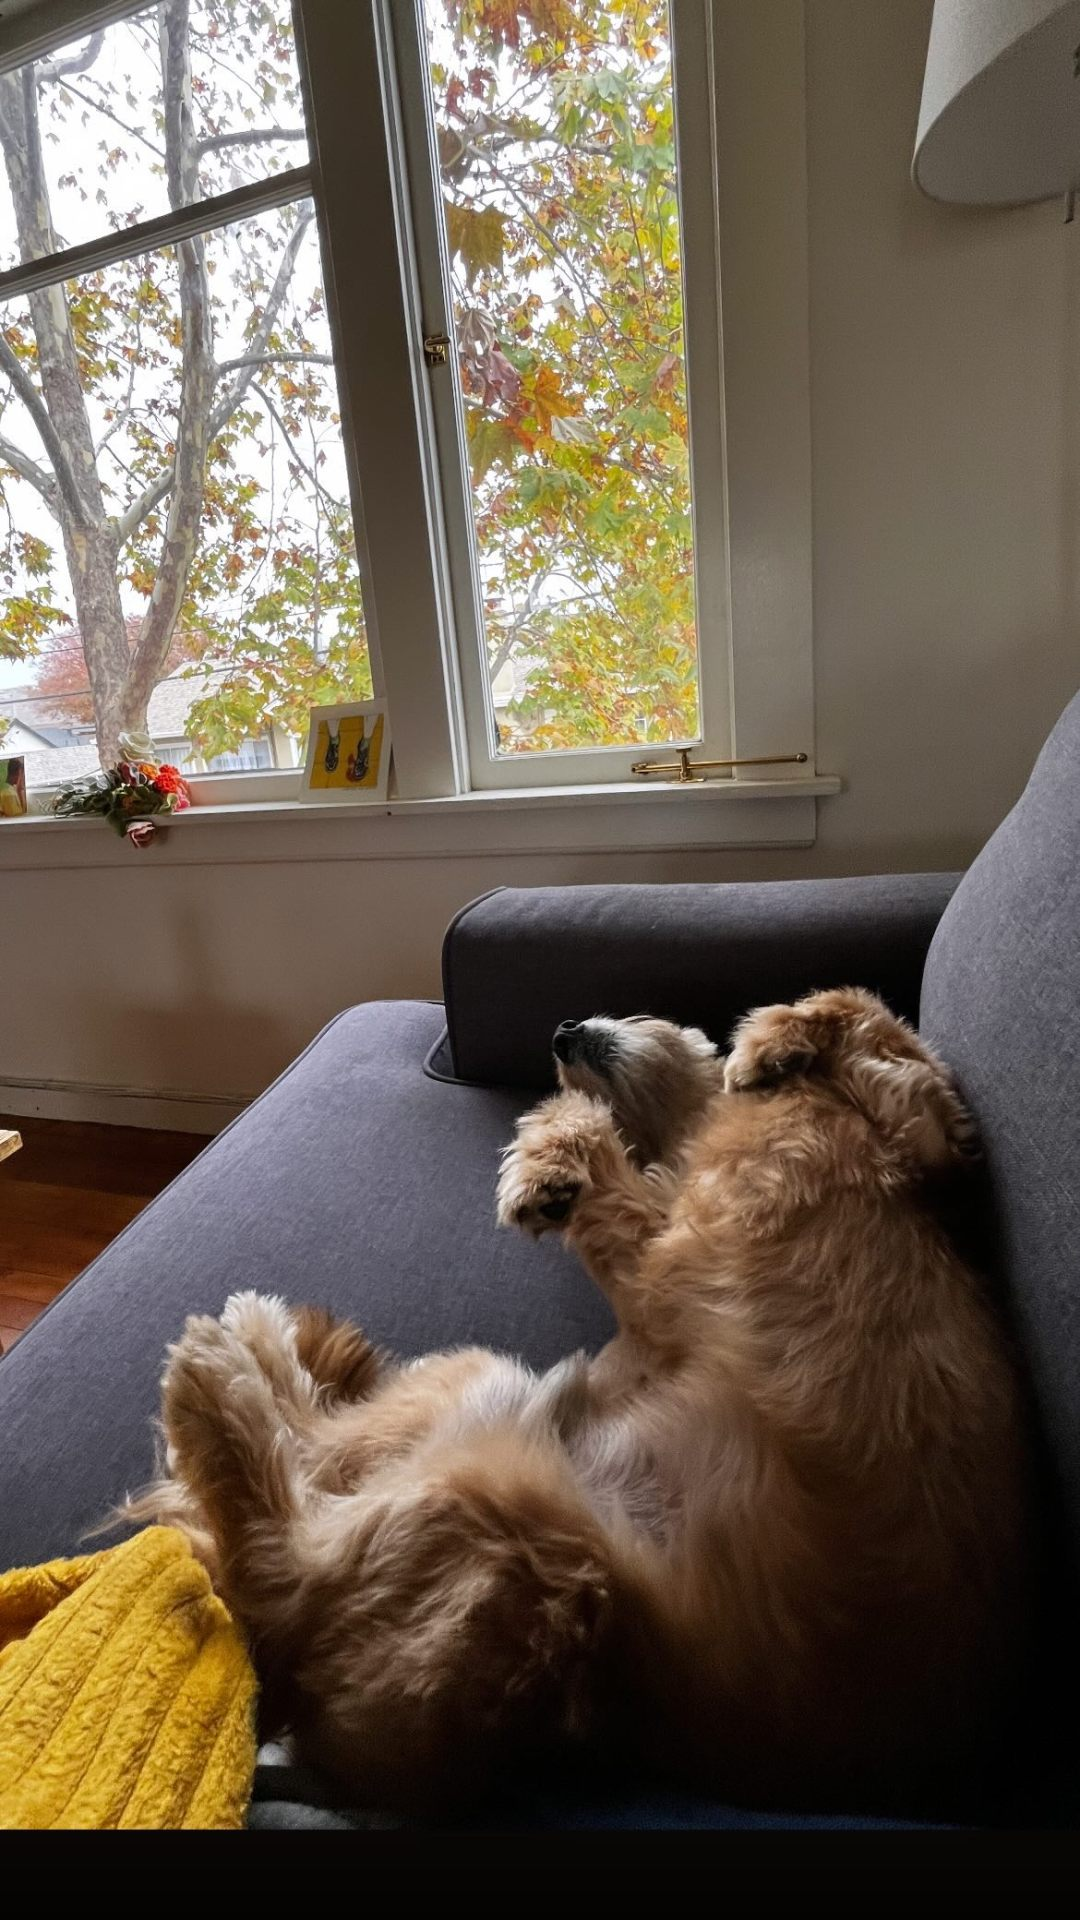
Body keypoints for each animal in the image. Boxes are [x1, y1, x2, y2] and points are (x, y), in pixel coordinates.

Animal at [130, 990, 1030, 1812]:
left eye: (643, 1012)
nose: (563, 1030)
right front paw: (561, 1152)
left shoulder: (924, 1141)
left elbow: (867, 1016)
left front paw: (762, 1042)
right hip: (482, 1427)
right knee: (287, 1512)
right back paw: (251, 1362)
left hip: (510, 1519)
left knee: (277, 1564)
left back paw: (227, 1366)